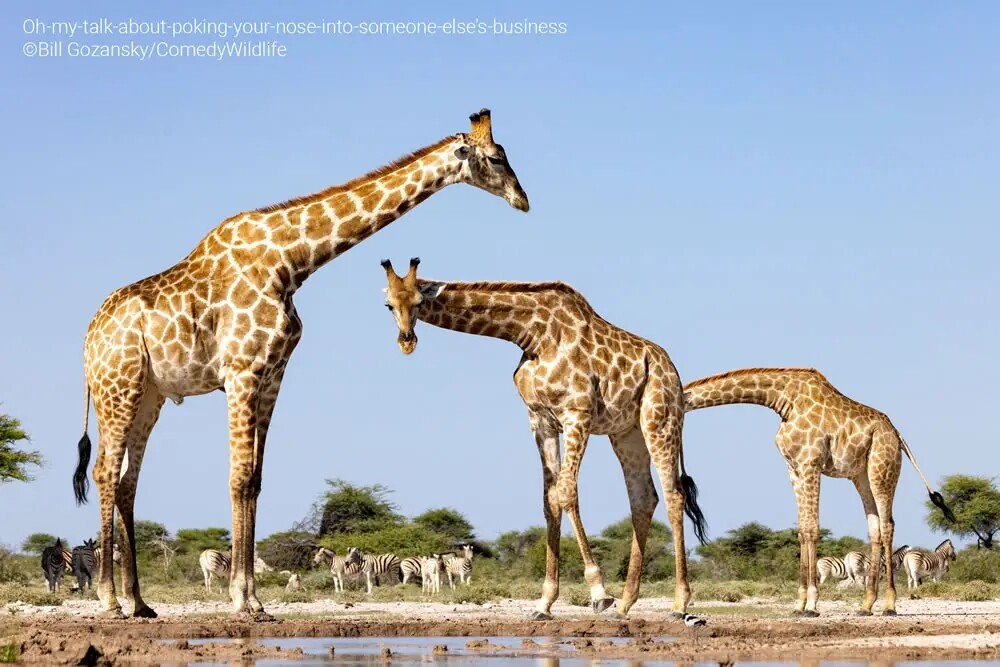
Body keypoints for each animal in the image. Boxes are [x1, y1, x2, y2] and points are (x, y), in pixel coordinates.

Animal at [70, 108, 532, 620]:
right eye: (496, 158)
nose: (523, 199)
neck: (290, 262)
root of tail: (89, 339)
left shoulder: (273, 375)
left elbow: (254, 480)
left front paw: (253, 596)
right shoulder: (242, 372)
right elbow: (237, 478)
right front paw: (241, 600)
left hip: (149, 395)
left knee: (128, 481)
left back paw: (140, 602)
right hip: (119, 387)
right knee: (105, 472)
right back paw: (110, 600)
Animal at [378, 258, 708, 620]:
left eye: (418, 302)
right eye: (388, 305)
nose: (406, 341)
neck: (532, 335)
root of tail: (672, 370)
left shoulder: (576, 414)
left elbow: (566, 492)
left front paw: (598, 592)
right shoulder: (540, 421)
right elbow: (549, 500)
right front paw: (545, 602)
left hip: (660, 420)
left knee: (674, 494)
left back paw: (678, 603)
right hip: (626, 433)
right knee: (644, 498)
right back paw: (624, 604)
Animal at [680, 368, 952, 620]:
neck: (781, 399)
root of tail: (897, 434)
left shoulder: (810, 464)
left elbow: (812, 528)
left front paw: (811, 605)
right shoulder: (793, 468)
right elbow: (802, 530)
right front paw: (799, 605)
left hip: (882, 469)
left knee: (887, 525)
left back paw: (889, 606)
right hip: (860, 475)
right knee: (874, 526)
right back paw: (866, 606)